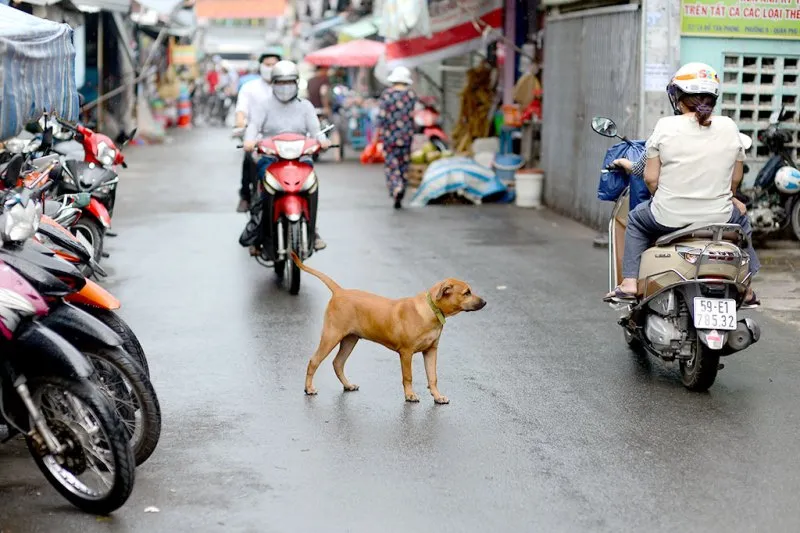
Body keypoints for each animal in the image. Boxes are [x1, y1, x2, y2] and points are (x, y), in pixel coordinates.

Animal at [290, 254, 484, 404]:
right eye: (467, 293)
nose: (485, 302)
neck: (430, 310)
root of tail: (340, 291)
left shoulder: (431, 351)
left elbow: (433, 376)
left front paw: (437, 396)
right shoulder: (406, 352)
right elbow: (408, 376)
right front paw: (410, 395)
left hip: (350, 339)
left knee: (338, 363)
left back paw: (348, 385)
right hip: (331, 335)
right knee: (314, 361)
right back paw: (309, 388)